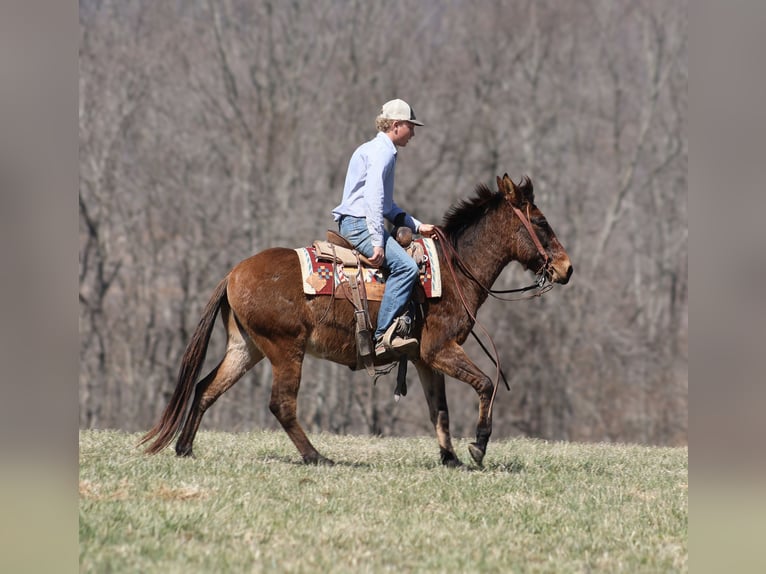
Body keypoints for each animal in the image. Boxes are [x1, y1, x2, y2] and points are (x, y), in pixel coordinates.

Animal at [141, 174, 576, 468]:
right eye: (540, 222)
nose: (566, 268)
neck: (452, 273)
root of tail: (233, 273)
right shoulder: (441, 349)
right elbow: (485, 383)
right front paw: (478, 446)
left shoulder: (423, 359)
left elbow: (439, 409)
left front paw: (450, 458)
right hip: (285, 350)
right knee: (281, 404)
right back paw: (316, 456)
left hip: (246, 347)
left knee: (205, 388)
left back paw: (184, 448)